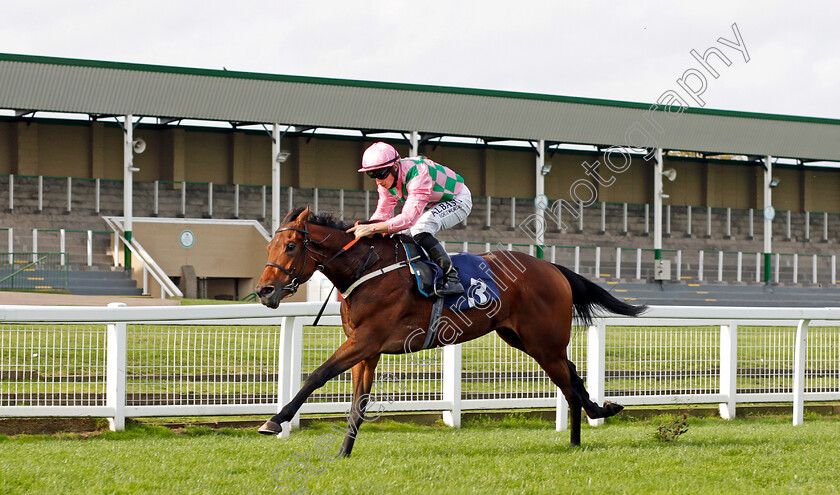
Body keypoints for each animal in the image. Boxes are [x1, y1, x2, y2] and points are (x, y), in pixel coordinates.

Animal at [253, 206, 648, 458]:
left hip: (544, 343)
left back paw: (586, 430)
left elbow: (317, 375)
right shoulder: (367, 350)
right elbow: (357, 403)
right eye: (269, 246)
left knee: (569, 384)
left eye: (291, 246)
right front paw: (342, 452)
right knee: (572, 379)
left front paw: (274, 421)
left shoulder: (366, 340)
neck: (368, 270)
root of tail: (552, 267)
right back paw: (585, 430)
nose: (264, 291)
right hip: (526, 341)